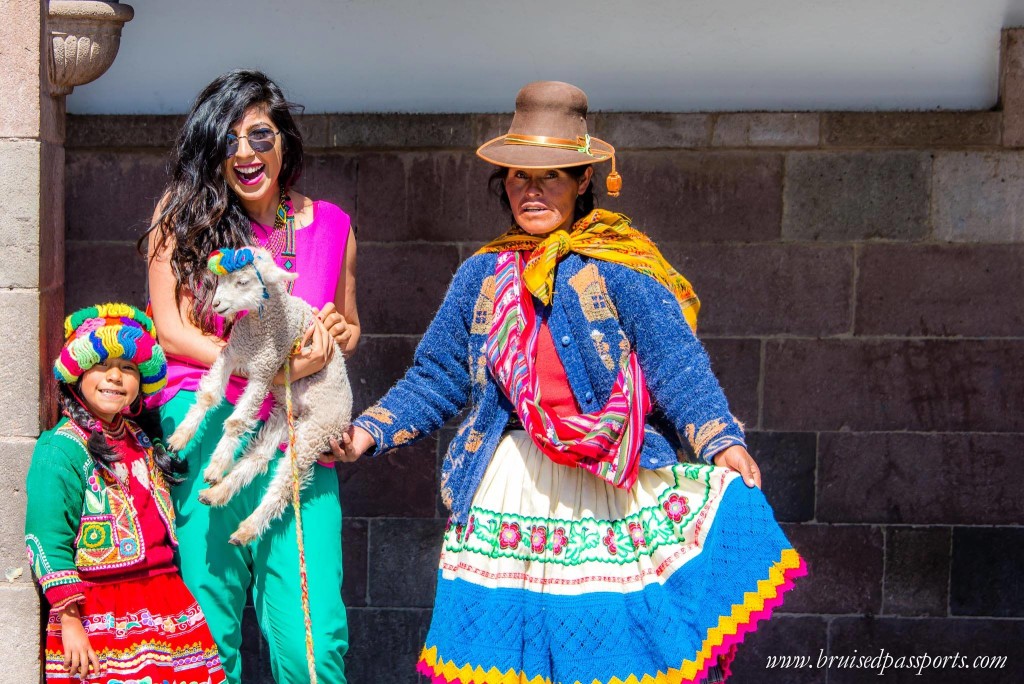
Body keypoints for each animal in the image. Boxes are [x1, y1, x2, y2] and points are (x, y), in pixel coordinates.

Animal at [167, 245, 352, 544]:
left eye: (243, 282)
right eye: (219, 279)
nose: (216, 305)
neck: (259, 329)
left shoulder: (265, 371)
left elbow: (236, 422)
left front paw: (216, 464)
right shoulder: (232, 353)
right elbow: (209, 396)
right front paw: (181, 437)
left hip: (317, 431)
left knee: (285, 485)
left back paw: (247, 527)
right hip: (285, 419)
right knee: (259, 458)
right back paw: (217, 493)